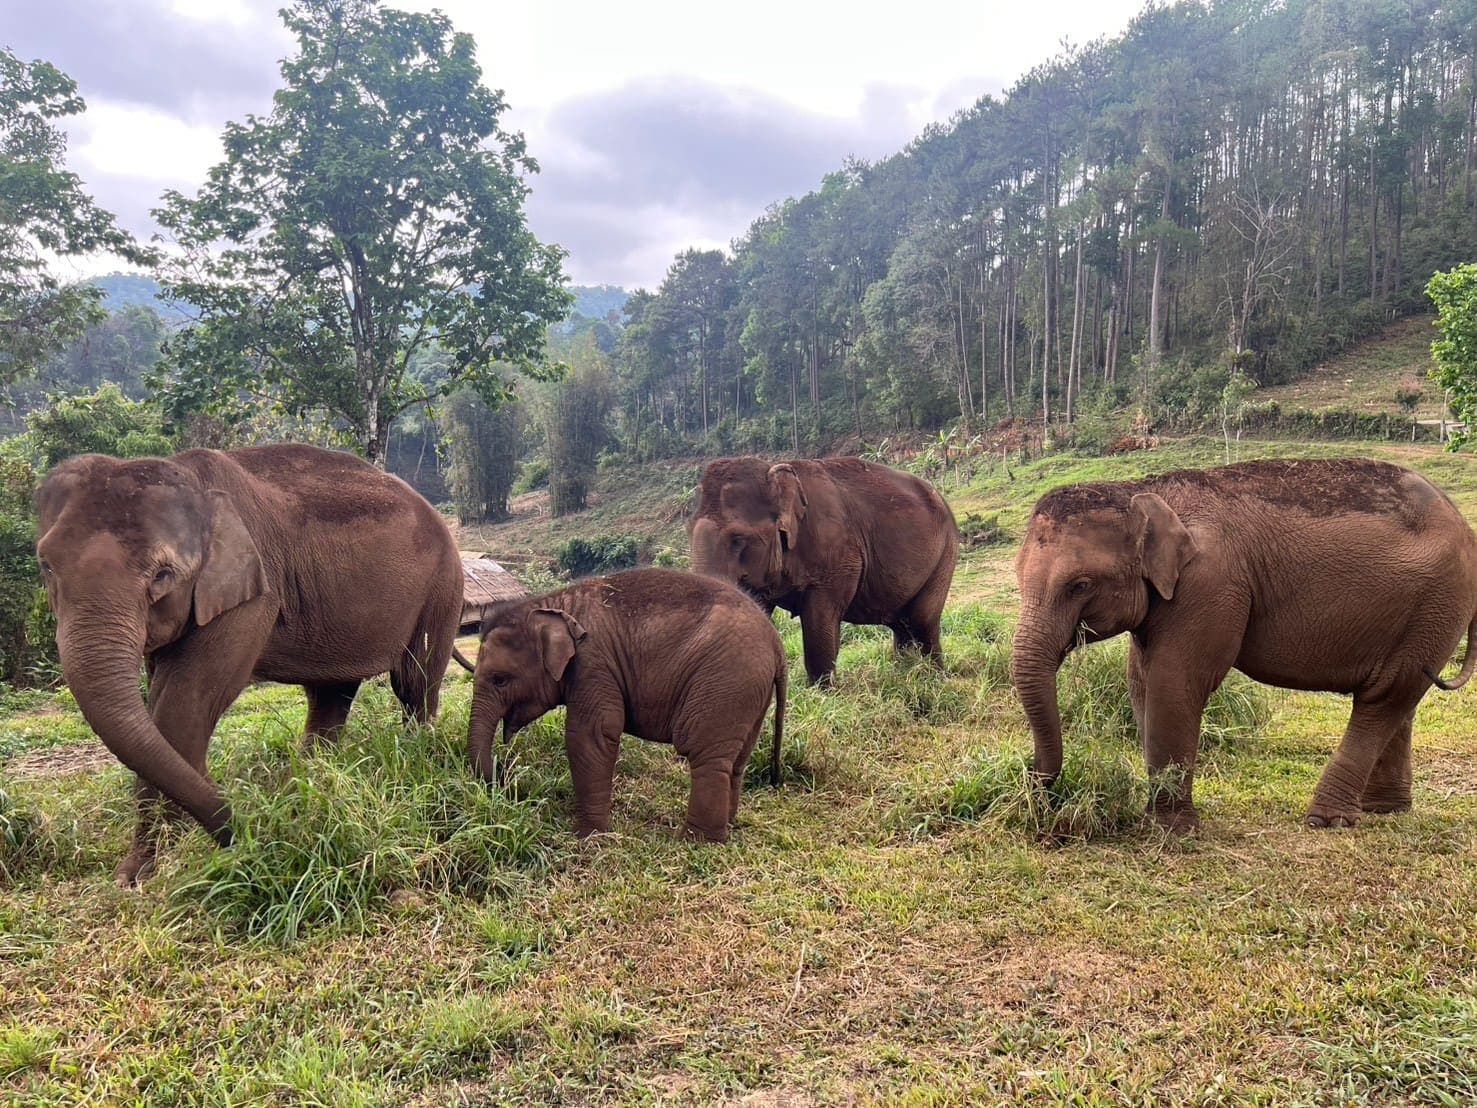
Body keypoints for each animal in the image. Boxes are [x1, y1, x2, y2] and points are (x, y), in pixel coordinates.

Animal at [35, 444, 464, 884]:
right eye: (46, 566)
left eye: (162, 575)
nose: (246, 834)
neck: (192, 480)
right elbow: (158, 710)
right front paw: (139, 871)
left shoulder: (252, 594)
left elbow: (180, 712)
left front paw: (142, 873)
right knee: (331, 692)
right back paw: (314, 780)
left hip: (443, 585)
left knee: (414, 681)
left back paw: (412, 752)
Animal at [466, 568, 787, 842]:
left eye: (500, 679)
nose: (507, 776)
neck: (550, 604)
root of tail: (776, 642)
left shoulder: (593, 664)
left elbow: (591, 734)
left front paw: (588, 836)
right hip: (749, 691)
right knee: (737, 761)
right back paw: (727, 826)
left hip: (726, 677)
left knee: (705, 753)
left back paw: (695, 841)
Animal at [688, 456, 958, 684]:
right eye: (688, 533)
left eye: (737, 539)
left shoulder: (839, 557)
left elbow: (819, 619)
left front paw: (824, 695)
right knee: (902, 624)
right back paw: (905, 673)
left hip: (945, 553)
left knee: (922, 619)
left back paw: (933, 677)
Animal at [1012, 457, 1477, 832]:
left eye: (1080, 585)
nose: (1039, 796)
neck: (1144, 491)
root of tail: (1464, 527)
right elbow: (1140, 684)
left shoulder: (1211, 583)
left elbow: (1174, 682)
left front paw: (1169, 830)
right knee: (1400, 698)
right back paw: (1384, 810)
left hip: (1439, 600)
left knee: (1384, 698)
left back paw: (1327, 820)